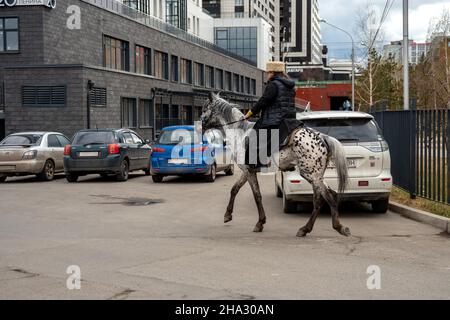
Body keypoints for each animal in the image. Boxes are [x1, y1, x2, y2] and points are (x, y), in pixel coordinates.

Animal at [201, 93, 352, 238]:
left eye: (204, 109)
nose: (201, 128)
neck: (240, 133)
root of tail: (322, 137)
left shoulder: (248, 171)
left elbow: (257, 195)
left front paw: (260, 223)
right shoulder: (247, 171)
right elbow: (234, 189)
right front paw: (228, 215)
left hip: (310, 174)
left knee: (327, 197)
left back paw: (336, 227)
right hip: (316, 175)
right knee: (324, 197)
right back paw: (307, 229)